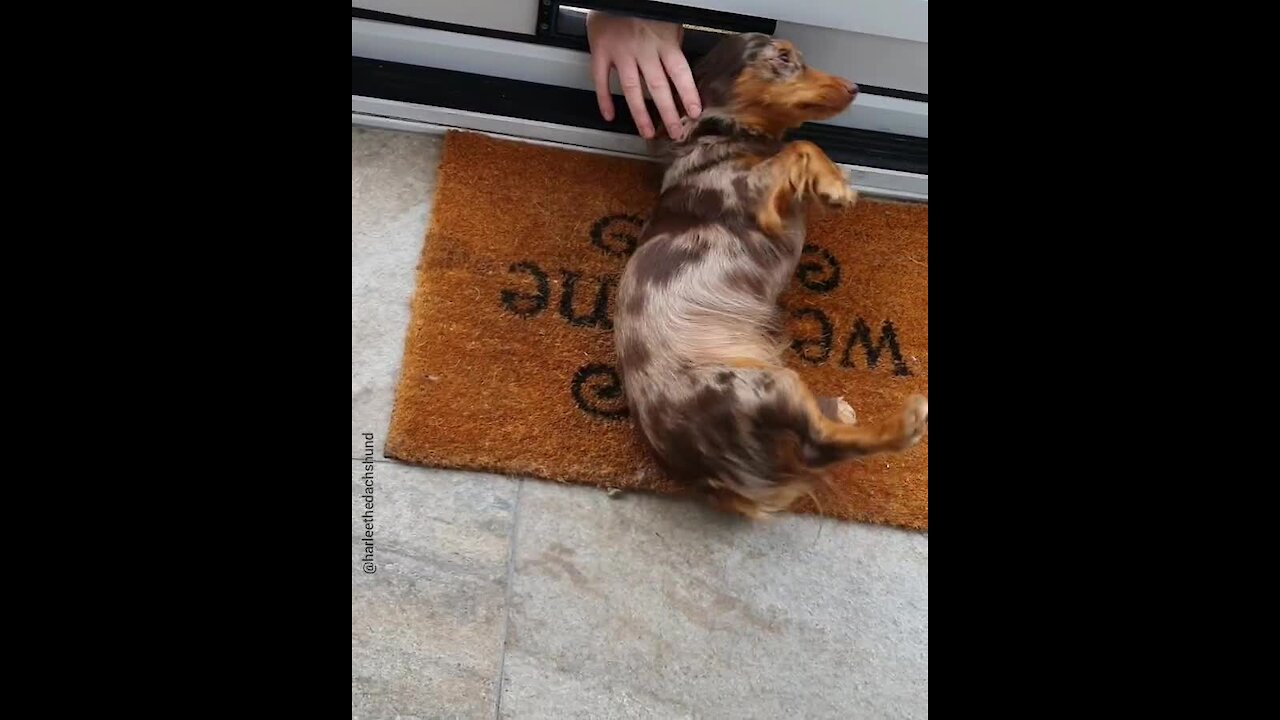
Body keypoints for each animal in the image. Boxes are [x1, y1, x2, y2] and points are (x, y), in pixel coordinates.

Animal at [611, 32, 926, 515]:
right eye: (782, 57)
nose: (855, 88)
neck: (726, 139)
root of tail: (713, 478)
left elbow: (802, 153)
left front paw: (828, 180)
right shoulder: (753, 196)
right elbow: (802, 147)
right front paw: (834, 186)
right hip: (760, 384)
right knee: (817, 443)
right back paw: (903, 423)